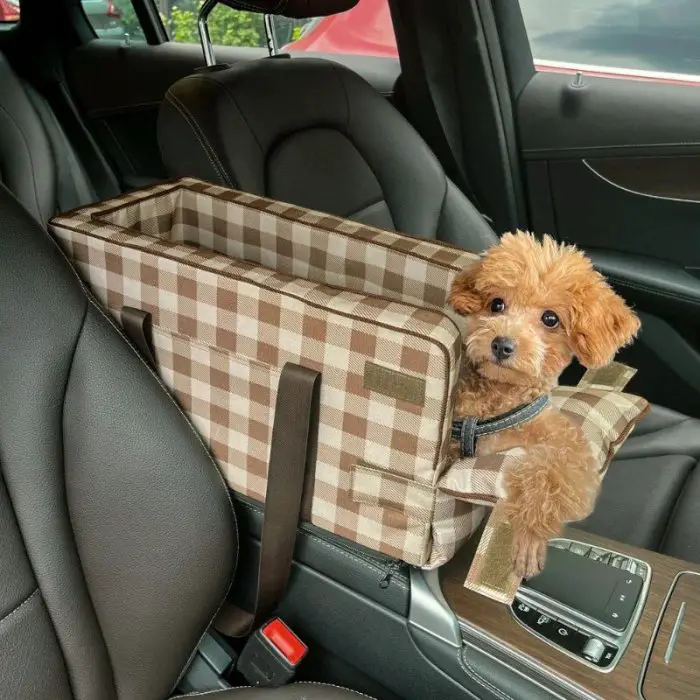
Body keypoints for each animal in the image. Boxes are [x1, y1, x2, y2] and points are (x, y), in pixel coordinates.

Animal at [448, 232, 640, 576]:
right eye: (496, 304)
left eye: (550, 319)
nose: (502, 344)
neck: (498, 402)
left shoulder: (564, 442)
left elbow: (550, 475)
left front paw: (528, 539)